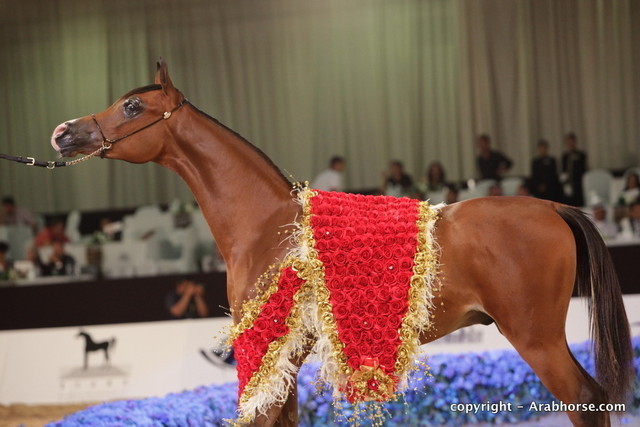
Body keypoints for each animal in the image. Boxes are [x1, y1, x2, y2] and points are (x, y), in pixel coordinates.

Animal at [51, 59, 632, 426]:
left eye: (131, 107)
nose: (63, 132)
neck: (268, 225)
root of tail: (552, 207)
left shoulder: (263, 347)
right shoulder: (284, 357)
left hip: (536, 338)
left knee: (584, 400)